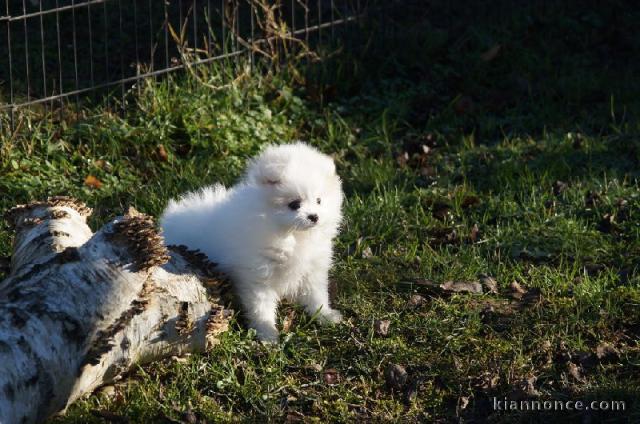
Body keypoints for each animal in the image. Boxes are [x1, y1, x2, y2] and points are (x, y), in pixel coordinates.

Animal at [160, 142, 342, 342]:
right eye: (294, 204)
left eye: (319, 200)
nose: (314, 217)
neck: (292, 237)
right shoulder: (257, 275)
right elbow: (261, 307)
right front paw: (267, 333)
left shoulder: (312, 270)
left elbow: (316, 296)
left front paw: (325, 315)